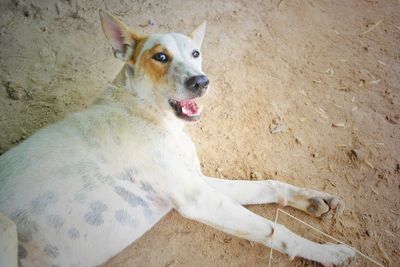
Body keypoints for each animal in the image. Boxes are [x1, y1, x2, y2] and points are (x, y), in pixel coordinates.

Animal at [0, 9, 356, 267]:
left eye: (196, 53)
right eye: (160, 57)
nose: (202, 82)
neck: (148, 112)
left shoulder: (196, 181)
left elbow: (267, 186)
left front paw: (313, 200)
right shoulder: (196, 198)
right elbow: (275, 230)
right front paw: (329, 253)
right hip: (7, 228)